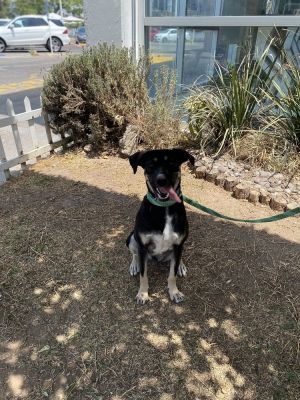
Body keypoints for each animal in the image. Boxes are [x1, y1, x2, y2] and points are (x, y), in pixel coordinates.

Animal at [126, 149, 195, 304]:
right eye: (150, 166)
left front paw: (174, 292)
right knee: (134, 253)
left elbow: (172, 274)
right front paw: (143, 294)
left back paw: (181, 266)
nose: (161, 180)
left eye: (172, 163)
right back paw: (135, 265)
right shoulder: (142, 246)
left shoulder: (178, 245)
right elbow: (143, 275)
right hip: (131, 238)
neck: (164, 208)